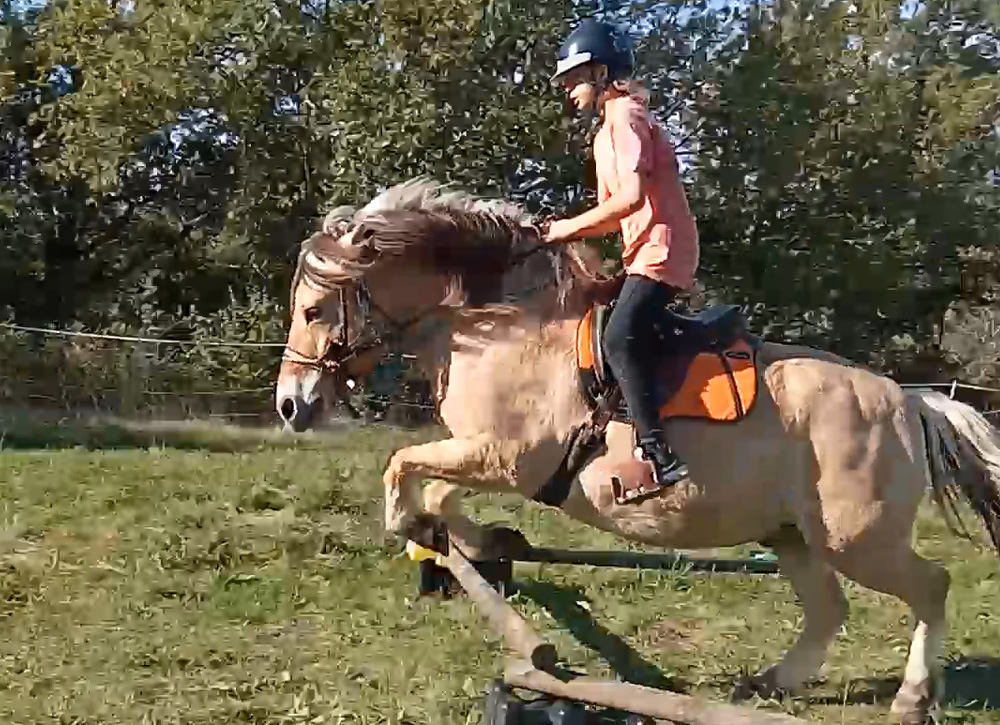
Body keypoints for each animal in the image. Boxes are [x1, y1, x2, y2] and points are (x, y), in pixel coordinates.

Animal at [274, 177, 1000, 724]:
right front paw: (462, 537)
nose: (289, 405)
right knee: (828, 609)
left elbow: (404, 467)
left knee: (930, 586)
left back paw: (911, 698)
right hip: (792, 533)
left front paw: (408, 521)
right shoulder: (492, 458)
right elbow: (439, 488)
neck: (498, 328)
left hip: (856, 536)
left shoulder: (507, 456)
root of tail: (908, 400)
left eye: (313, 311)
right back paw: (771, 682)